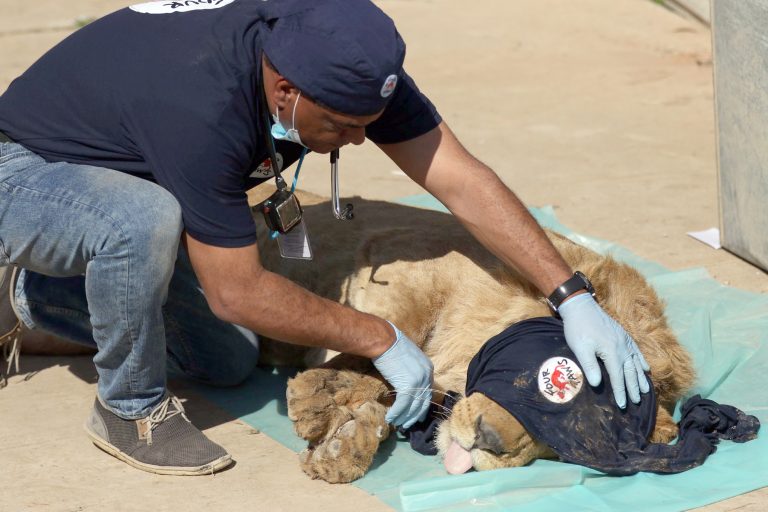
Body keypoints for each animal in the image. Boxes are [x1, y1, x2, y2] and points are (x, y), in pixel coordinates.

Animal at [254, 191, 696, 484]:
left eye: (563, 443)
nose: (490, 441)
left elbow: (393, 389)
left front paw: (342, 445)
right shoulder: (403, 259)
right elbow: (396, 341)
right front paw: (317, 396)